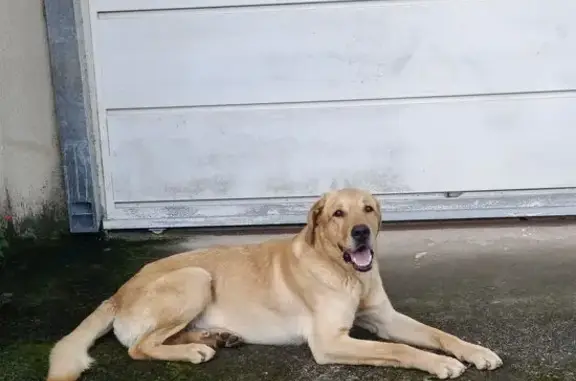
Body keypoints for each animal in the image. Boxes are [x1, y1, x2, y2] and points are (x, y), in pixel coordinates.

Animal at [47, 188, 502, 380]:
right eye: (338, 214)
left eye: (368, 209)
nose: (360, 233)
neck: (342, 271)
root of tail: (117, 292)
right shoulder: (330, 341)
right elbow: (401, 349)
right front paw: (440, 364)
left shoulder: (384, 318)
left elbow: (439, 334)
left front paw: (475, 352)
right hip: (196, 277)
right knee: (140, 346)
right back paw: (196, 349)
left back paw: (214, 337)